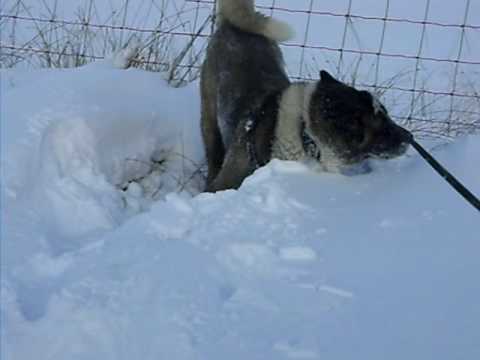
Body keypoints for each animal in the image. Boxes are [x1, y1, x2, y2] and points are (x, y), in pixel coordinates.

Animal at [200, 0, 408, 193]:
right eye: (381, 122)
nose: (410, 136)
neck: (304, 133)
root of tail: (232, 25)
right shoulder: (225, 183)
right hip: (210, 123)